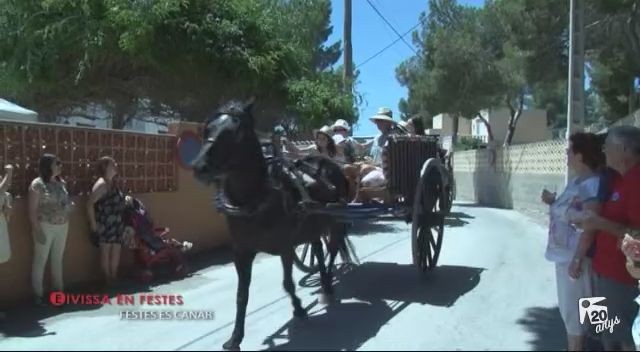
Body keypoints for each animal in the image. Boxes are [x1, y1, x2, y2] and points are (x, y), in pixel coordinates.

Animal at [191, 97, 350, 350]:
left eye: (236, 132)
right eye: (208, 128)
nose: (200, 167)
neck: (256, 198)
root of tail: (328, 162)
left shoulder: (285, 248)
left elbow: (288, 284)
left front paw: (299, 310)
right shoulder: (241, 252)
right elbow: (241, 295)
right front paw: (235, 338)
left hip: (334, 221)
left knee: (332, 250)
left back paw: (327, 289)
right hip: (313, 226)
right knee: (318, 250)